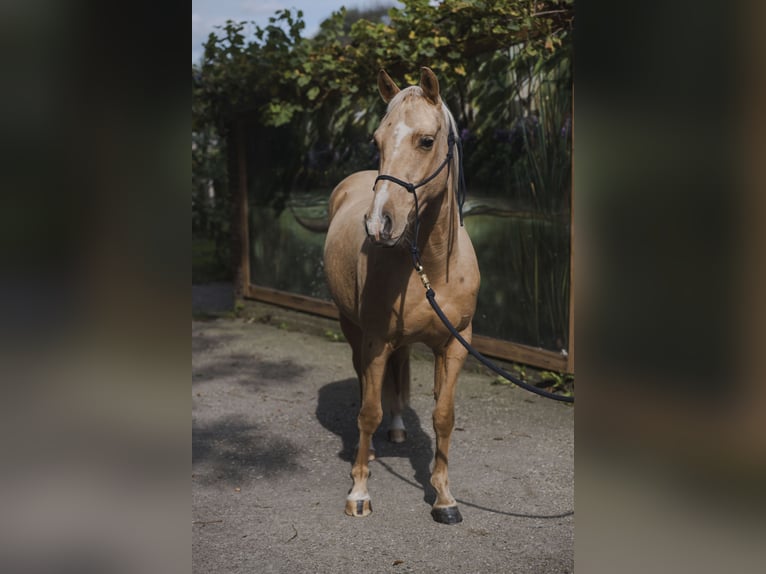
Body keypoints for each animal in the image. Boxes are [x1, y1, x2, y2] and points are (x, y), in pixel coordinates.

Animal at [323, 67, 480, 524]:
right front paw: (359, 492)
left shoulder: (456, 344)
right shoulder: (376, 339)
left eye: (426, 141)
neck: (431, 265)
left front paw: (444, 498)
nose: (379, 223)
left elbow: (443, 416)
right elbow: (367, 411)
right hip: (353, 329)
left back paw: (396, 428)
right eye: (376, 141)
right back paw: (373, 450)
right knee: (365, 385)